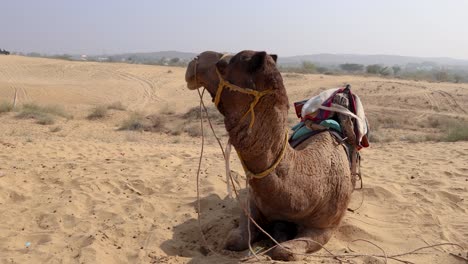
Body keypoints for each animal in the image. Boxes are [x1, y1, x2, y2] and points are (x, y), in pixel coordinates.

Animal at [185, 50, 352, 260]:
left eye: (222, 65)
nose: (195, 61)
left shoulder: (325, 227)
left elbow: (284, 251)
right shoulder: (252, 203)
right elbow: (234, 239)